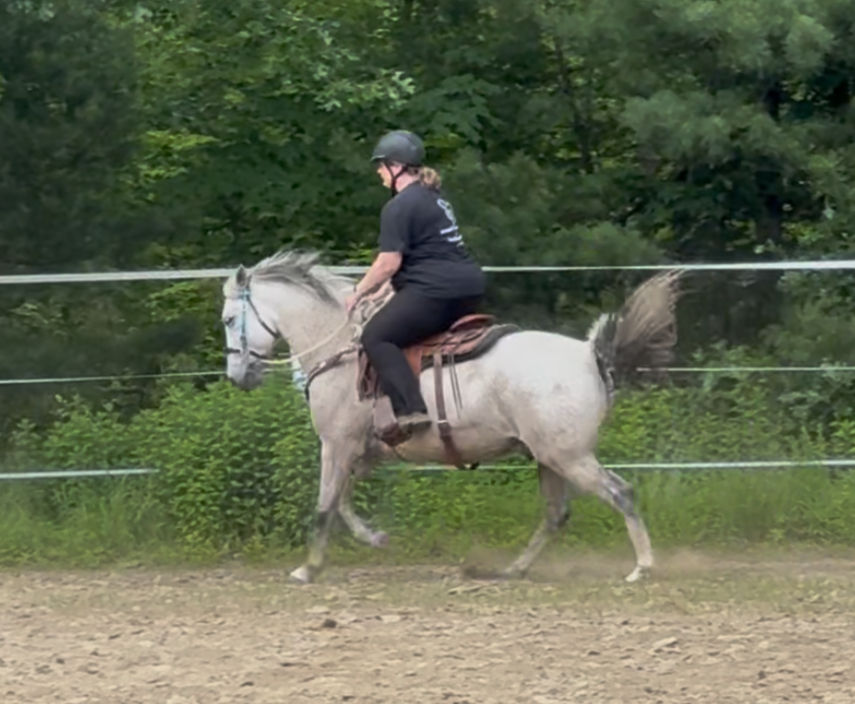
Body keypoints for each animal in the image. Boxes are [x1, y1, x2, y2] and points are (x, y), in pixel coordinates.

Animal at [222, 251, 680, 583]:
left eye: (228, 319)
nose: (239, 376)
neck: (340, 351)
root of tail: (588, 354)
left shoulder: (336, 446)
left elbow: (324, 505)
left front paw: (308, 568)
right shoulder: (359, 453)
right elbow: (342, 503)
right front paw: (375, 538)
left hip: (569, 457)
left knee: (621, 493)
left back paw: (642, 567)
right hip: (549, 459)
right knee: (556, 515)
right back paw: (514, 569)